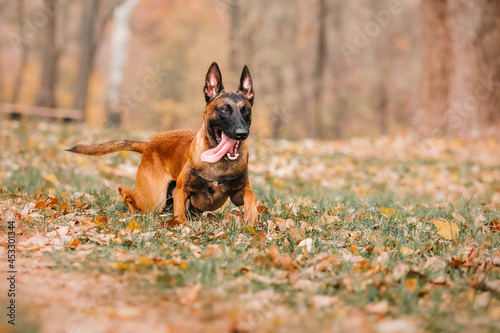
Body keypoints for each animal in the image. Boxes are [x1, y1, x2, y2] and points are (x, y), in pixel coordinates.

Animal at [67, 63, 258, 226]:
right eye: (224, 110)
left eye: (246, 111)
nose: (241, 133)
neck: (219, 163)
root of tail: (149, 144)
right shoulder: (182, 191)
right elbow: (180, 214)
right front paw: (180, 226)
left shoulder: (238, 193)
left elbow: (251, 196)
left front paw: (251, 216)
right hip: (154, 199)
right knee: (128, 194)